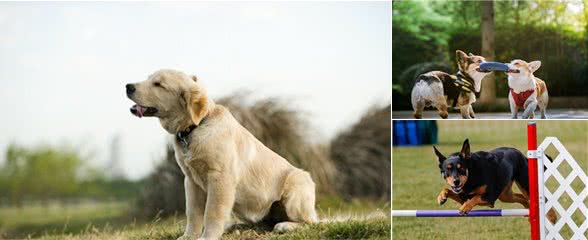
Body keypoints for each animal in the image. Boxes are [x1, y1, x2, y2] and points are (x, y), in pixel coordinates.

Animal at [124, 69, 316, 238]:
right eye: (149, 78)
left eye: (158, 84)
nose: (128, 86)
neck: (195, 127)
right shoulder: (191, 181)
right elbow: (192, 213)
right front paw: (189, 236)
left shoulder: (220, 178)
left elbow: (212, 212)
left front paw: (207, 237)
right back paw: (236, 226)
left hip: (295, 187)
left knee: (309, 222)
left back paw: (285, 225)